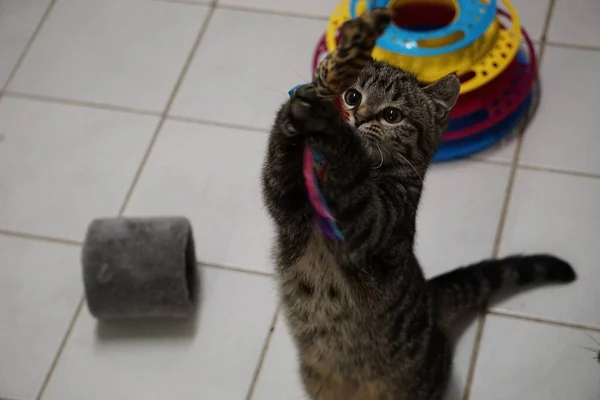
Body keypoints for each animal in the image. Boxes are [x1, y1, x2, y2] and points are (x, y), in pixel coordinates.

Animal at [262, 60, 576, 400]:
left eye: (392, 115)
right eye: (353, 95)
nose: (358, 117)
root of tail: (432, 296)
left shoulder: (374, 227)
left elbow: (353, 186)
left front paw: (337, 132)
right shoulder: (291, 212)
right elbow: (277, 175)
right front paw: (293, 114)